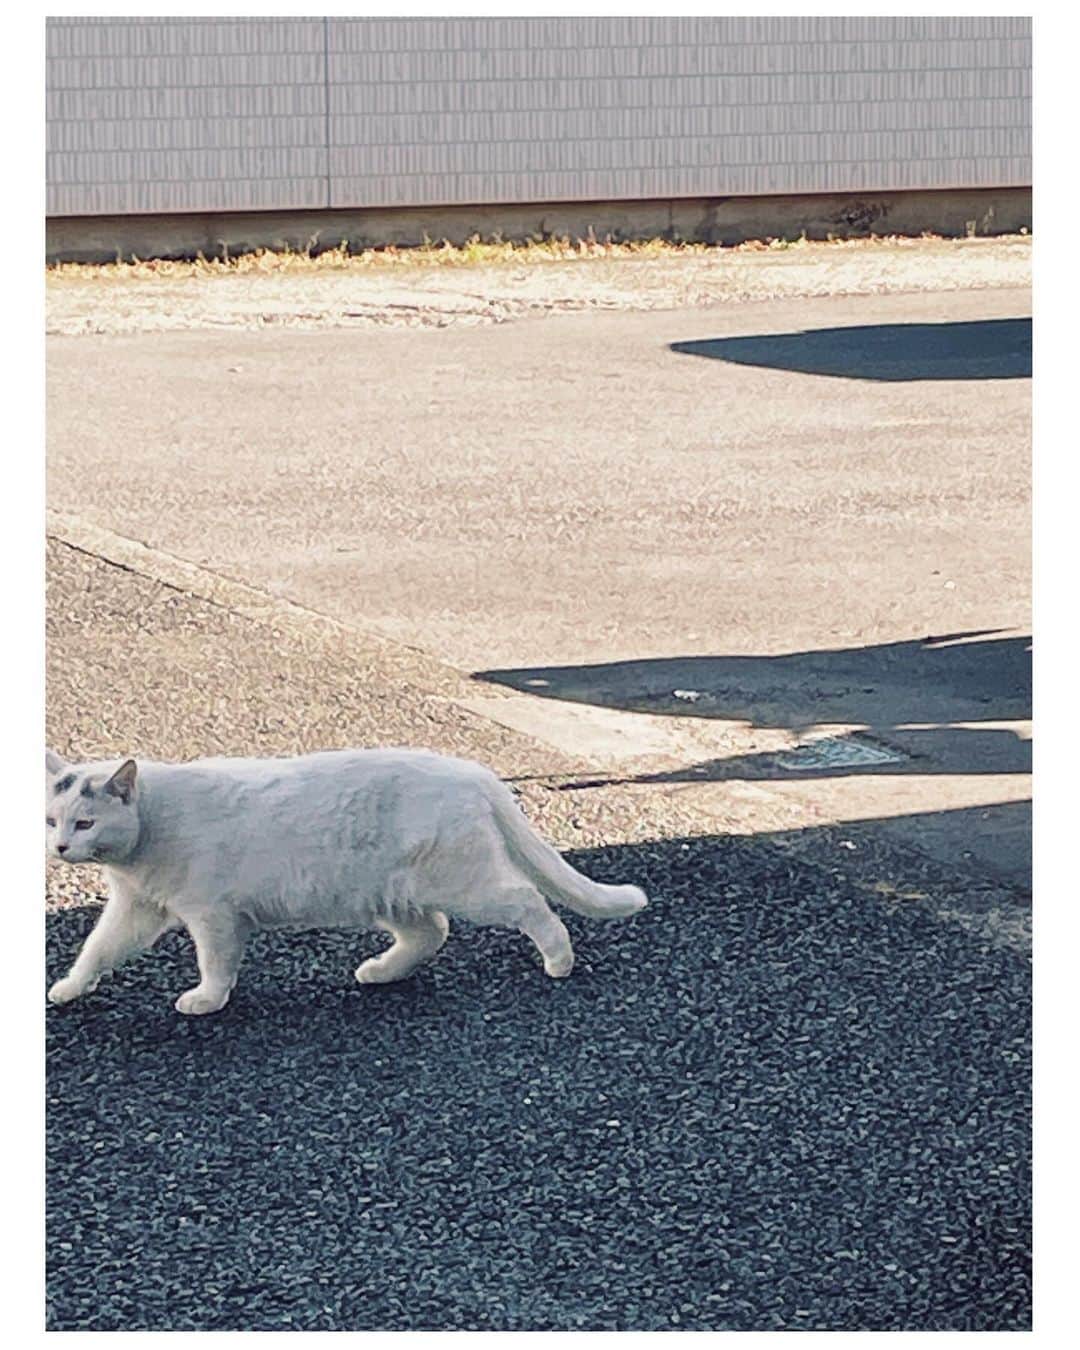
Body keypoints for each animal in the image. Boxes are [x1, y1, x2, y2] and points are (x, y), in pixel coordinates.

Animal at [45, 747, 647, 1015]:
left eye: (85, 822)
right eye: (52, 819)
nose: (59, 848)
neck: (153, 826)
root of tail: (471, 770)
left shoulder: (212, 916)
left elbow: (214, 963)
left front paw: (207, 1000)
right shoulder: (135, 909)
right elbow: (97, 948)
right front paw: (70, 988)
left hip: (464, 881)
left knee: (526, 902)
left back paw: (559, 960)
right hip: (393, 894)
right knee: (432, 931)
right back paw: (380, 971)